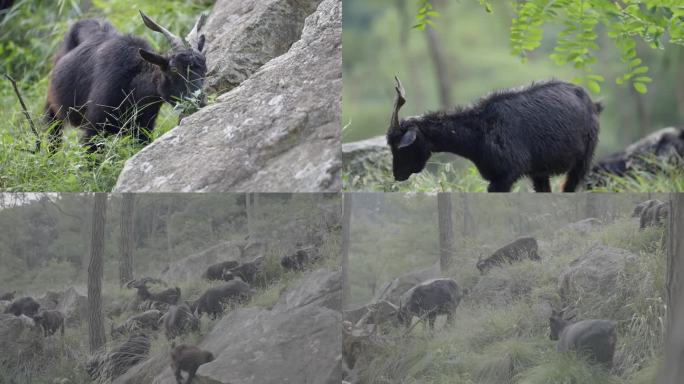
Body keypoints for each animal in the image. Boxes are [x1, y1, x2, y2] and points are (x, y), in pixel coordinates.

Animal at [44, 9, 206, 151]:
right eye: (174, 69)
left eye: (205, 68)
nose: (199, 102)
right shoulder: (94, 128)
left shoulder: (143, 128)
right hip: (53, 109)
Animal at [388, 77, 600, 192]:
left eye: (401, 147)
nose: (397, 175)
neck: (478, 133)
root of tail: (593, 103)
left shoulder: (506, 176)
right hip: (540, 172)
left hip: (583, 160)